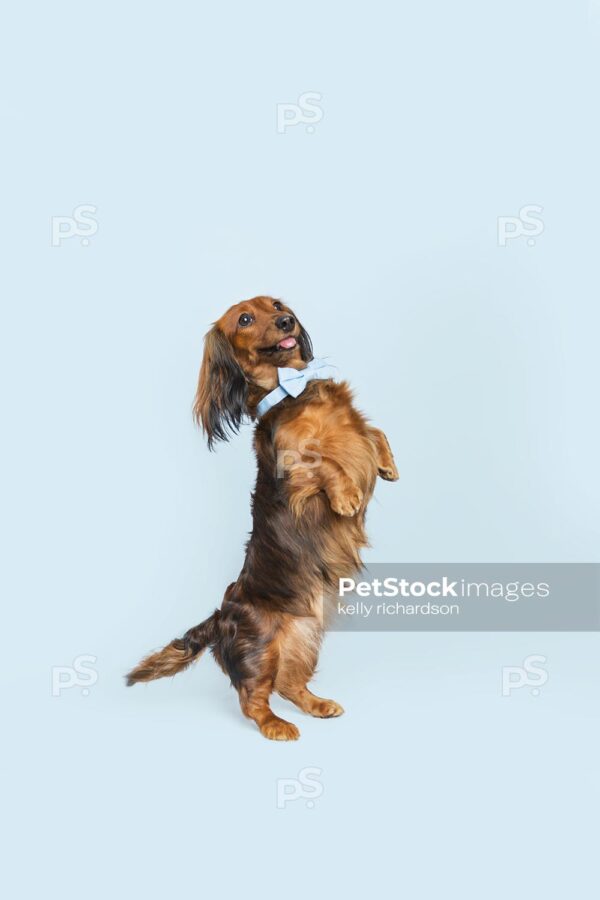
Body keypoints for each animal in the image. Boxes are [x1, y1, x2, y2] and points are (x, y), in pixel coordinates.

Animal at [126, 296, 396, 740]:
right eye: (245, 319)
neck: (295, 389)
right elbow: (325, 462)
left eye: (278, 304)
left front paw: (388, 465)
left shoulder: (355, 429)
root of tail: (220, 616)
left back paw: (319, 706)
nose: (286, 321)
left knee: (289, 684)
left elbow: (375, 434)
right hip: (261, 647)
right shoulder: (293, 464)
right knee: (252, 700)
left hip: (303, 638)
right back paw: (277, 726)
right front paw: (346, 496)